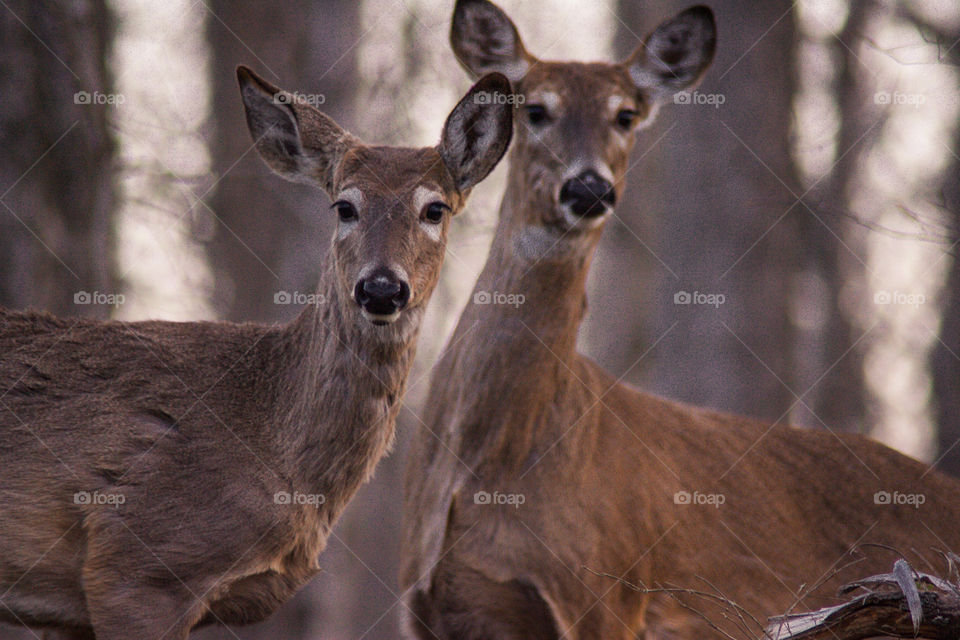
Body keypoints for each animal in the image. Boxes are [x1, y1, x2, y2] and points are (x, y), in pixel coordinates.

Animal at [400, 2, 960, 639]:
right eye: (536, 109)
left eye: (625, 115)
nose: (589, 188)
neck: (483, 469)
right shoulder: (424, 609)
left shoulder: (605, 598)